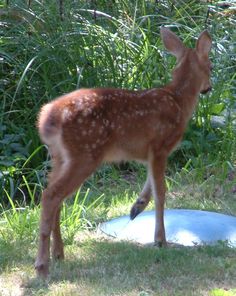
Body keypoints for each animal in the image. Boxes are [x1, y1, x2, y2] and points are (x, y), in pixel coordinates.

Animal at [36, 27, 213, 278]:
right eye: (211, 67)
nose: (208, 88)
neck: (179, 100)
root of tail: (46, 119)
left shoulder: (150, 152)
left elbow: (151, 186)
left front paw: (136, 207)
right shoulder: (160, 146)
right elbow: (161, 191)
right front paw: (160, 240)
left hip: (60, 158)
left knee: (56, 199)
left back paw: (58, 254)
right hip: (85, 154)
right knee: (50, 196)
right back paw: (42, 266)